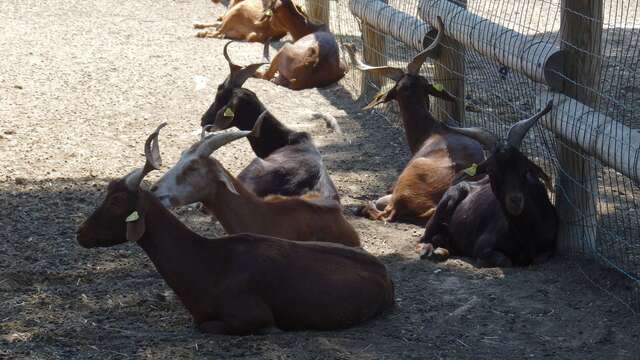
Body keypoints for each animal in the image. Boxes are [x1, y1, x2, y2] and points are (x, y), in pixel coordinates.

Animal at [418, 101, 556, 268]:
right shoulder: (483, 246)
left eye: (524, 168)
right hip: (444, 205)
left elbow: (537, 259)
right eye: (491, 170)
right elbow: (505, 261)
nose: (515, 201)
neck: (526, 232)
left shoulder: (549, 247)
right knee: (425, 237)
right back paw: (429, 250)